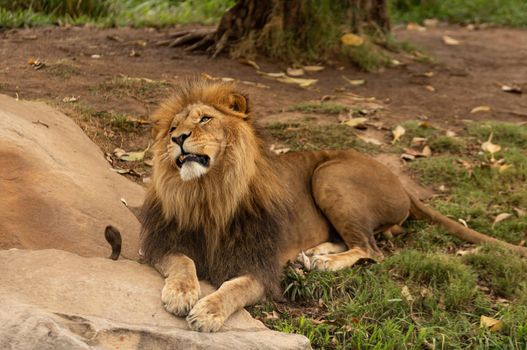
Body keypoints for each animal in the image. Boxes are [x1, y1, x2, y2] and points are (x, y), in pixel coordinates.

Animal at [108, 78, 527, 332]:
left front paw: (208, 313)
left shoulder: (261, 266)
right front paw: (181, 294)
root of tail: (404, 186)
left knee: (371, 249)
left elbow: (234, 288)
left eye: (205, 119)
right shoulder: (161, 243)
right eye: (172, 127)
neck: (209, 192)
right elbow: (184, 262)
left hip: (330, 175)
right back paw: (312, 255)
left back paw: (323, 263)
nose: (177, 138)